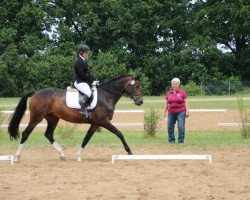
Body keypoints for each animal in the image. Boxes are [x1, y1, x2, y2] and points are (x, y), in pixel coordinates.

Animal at [8, 74, 143, 161]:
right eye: (136, 86)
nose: (140, 102)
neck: (107, 95)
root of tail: (36, 92)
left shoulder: (96, 123)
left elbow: (86, 138)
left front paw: (78, 155)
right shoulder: (103, 121)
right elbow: (119, 133)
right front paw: (130, 152)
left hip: (53, 118)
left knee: (49, 134)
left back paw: (62, 154)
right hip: (37, 117)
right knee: (26, 133)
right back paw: (17, 157)